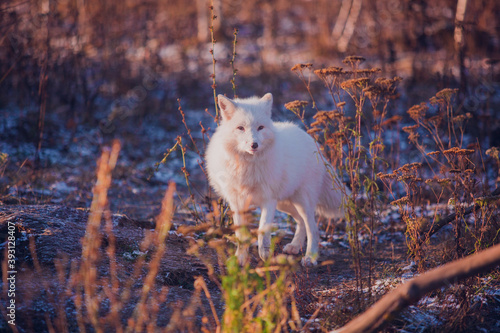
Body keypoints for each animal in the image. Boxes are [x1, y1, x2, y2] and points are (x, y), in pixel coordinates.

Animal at [204, 93, 348, 264]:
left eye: (260, 127)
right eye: (240, 128)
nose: (254, 145)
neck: (247, 166)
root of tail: (313, 143)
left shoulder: (269, 200)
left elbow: (262, 229)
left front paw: (265, 256)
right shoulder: (237, 202)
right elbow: (241, 234)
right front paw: (241, 259)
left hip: (302, 202)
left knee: (313, 228)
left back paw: (310, 257)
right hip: (285, 204)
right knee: (301, 222)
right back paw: (294, 246)